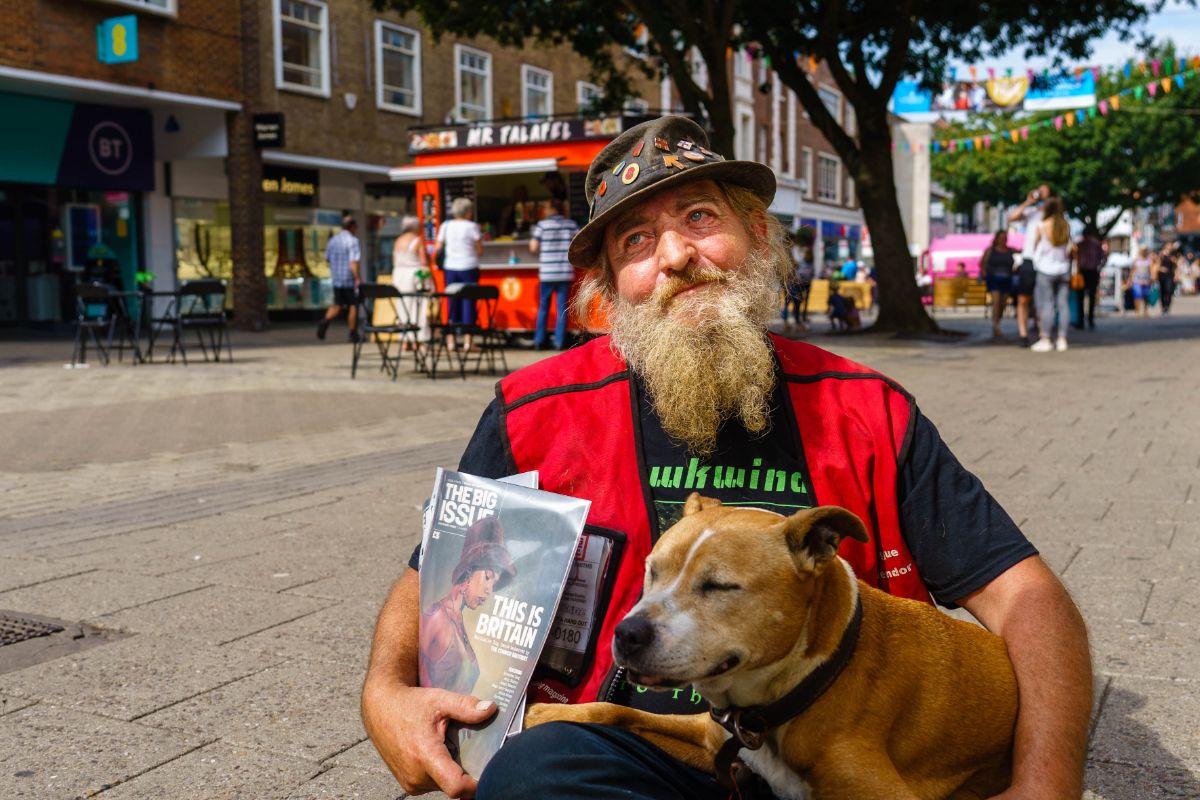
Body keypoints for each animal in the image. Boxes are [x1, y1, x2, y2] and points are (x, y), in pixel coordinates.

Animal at [530, 494, 1017, 800]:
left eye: (719, 586)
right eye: (652, 571)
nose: (627, 633)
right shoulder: (712, 740)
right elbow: (617, 712)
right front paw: (543, 714)